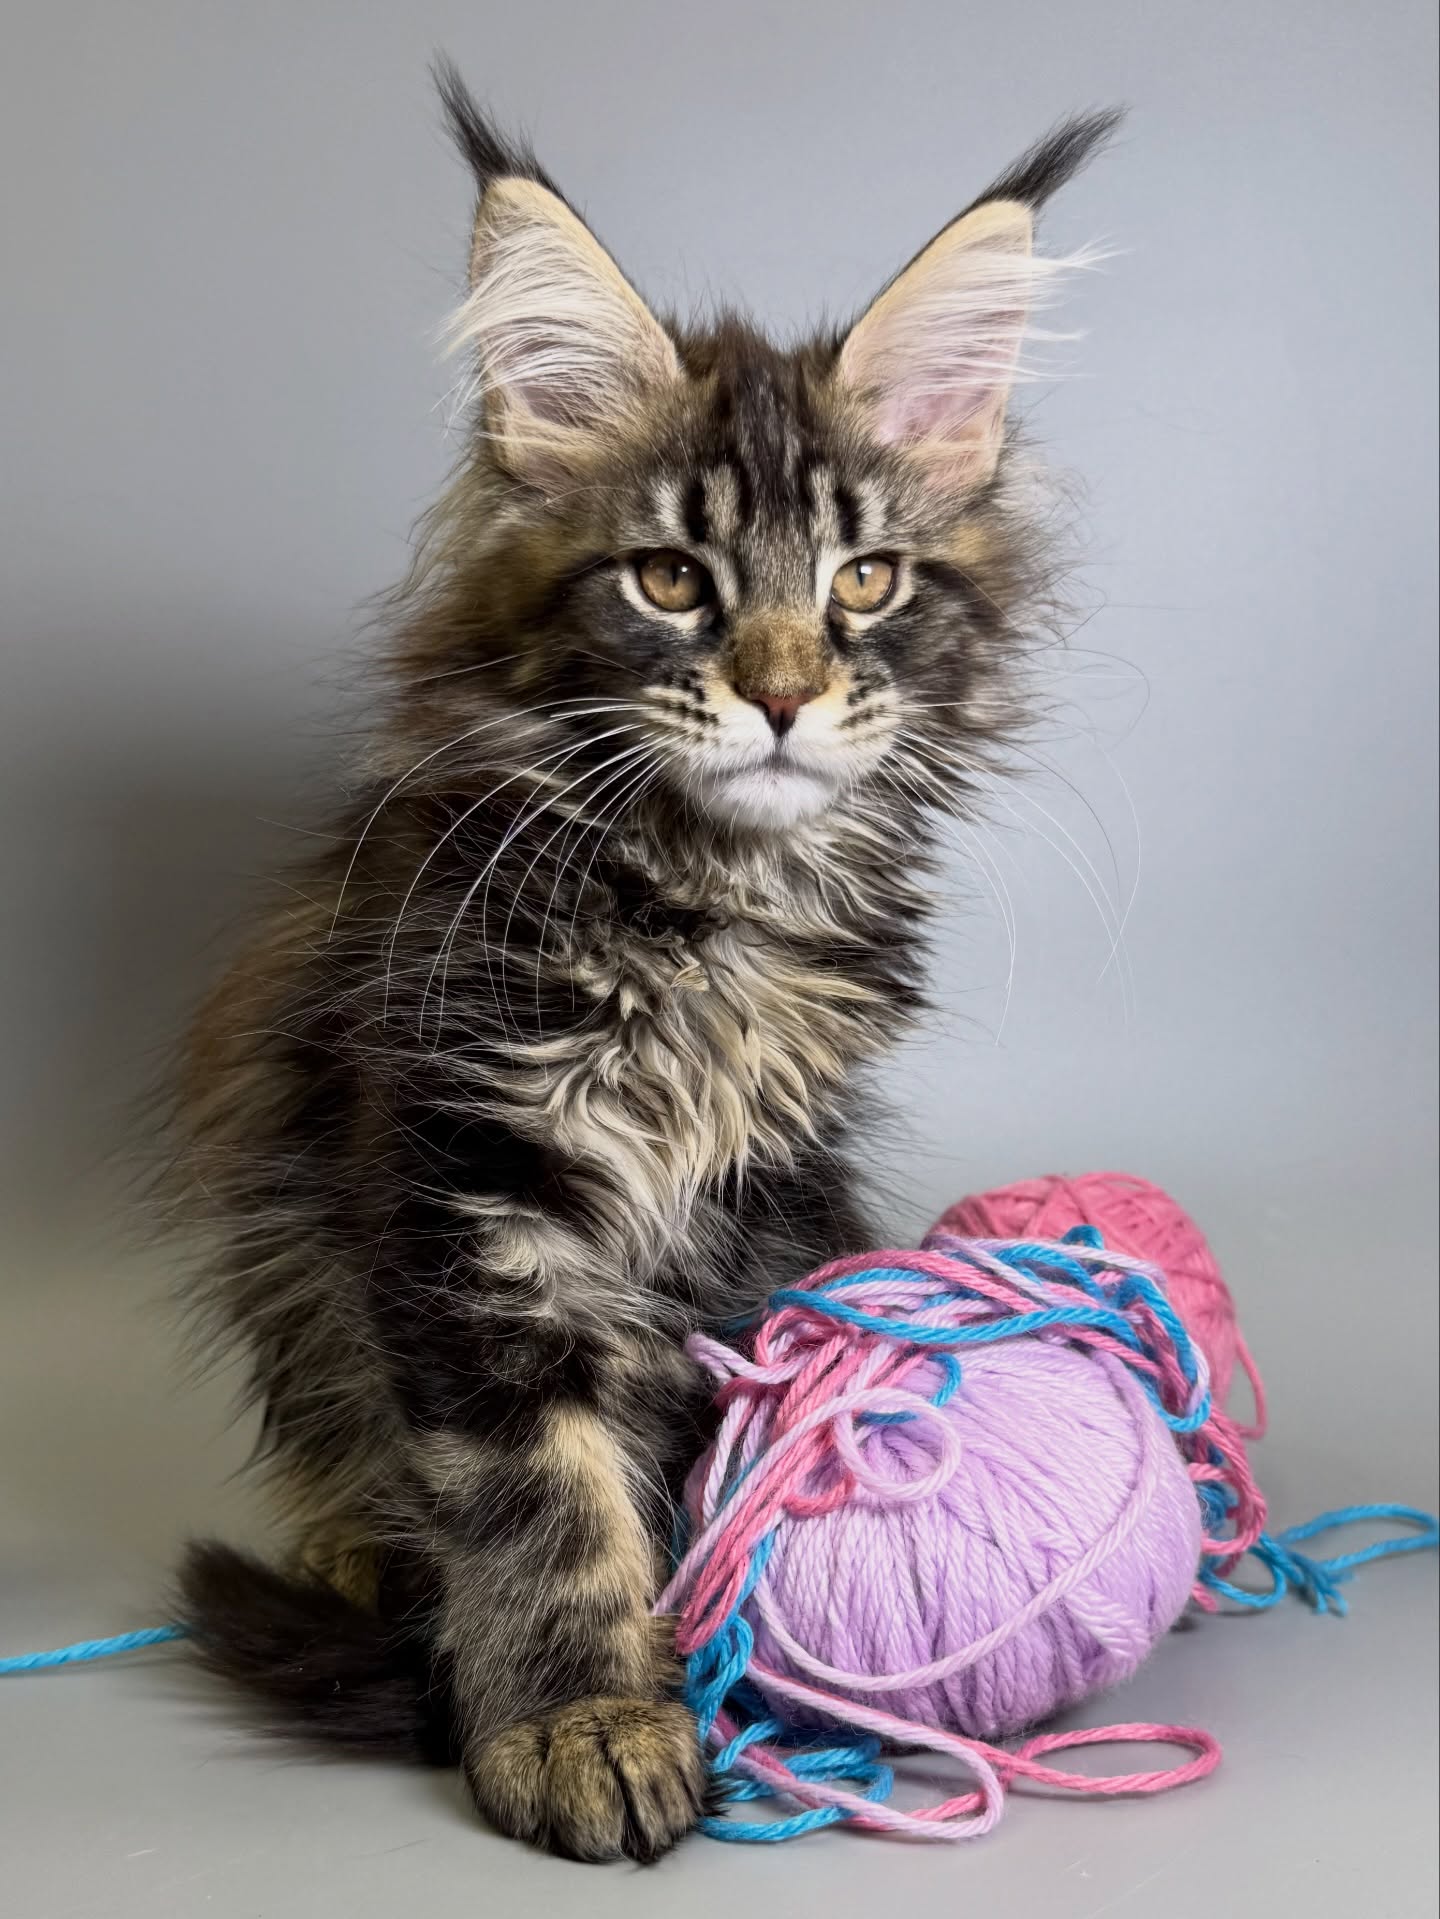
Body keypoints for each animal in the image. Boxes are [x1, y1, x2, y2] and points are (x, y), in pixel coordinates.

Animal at [172, 62, 1117, 1860]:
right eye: (673, 578)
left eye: (865, 580)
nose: (782, 692)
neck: (701, 905)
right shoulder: (468, 1176)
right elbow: (540, 1488)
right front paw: (583, 1717)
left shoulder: (758, 1191)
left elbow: (690, 1435)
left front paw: (708, 1634)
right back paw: (358, 1544)